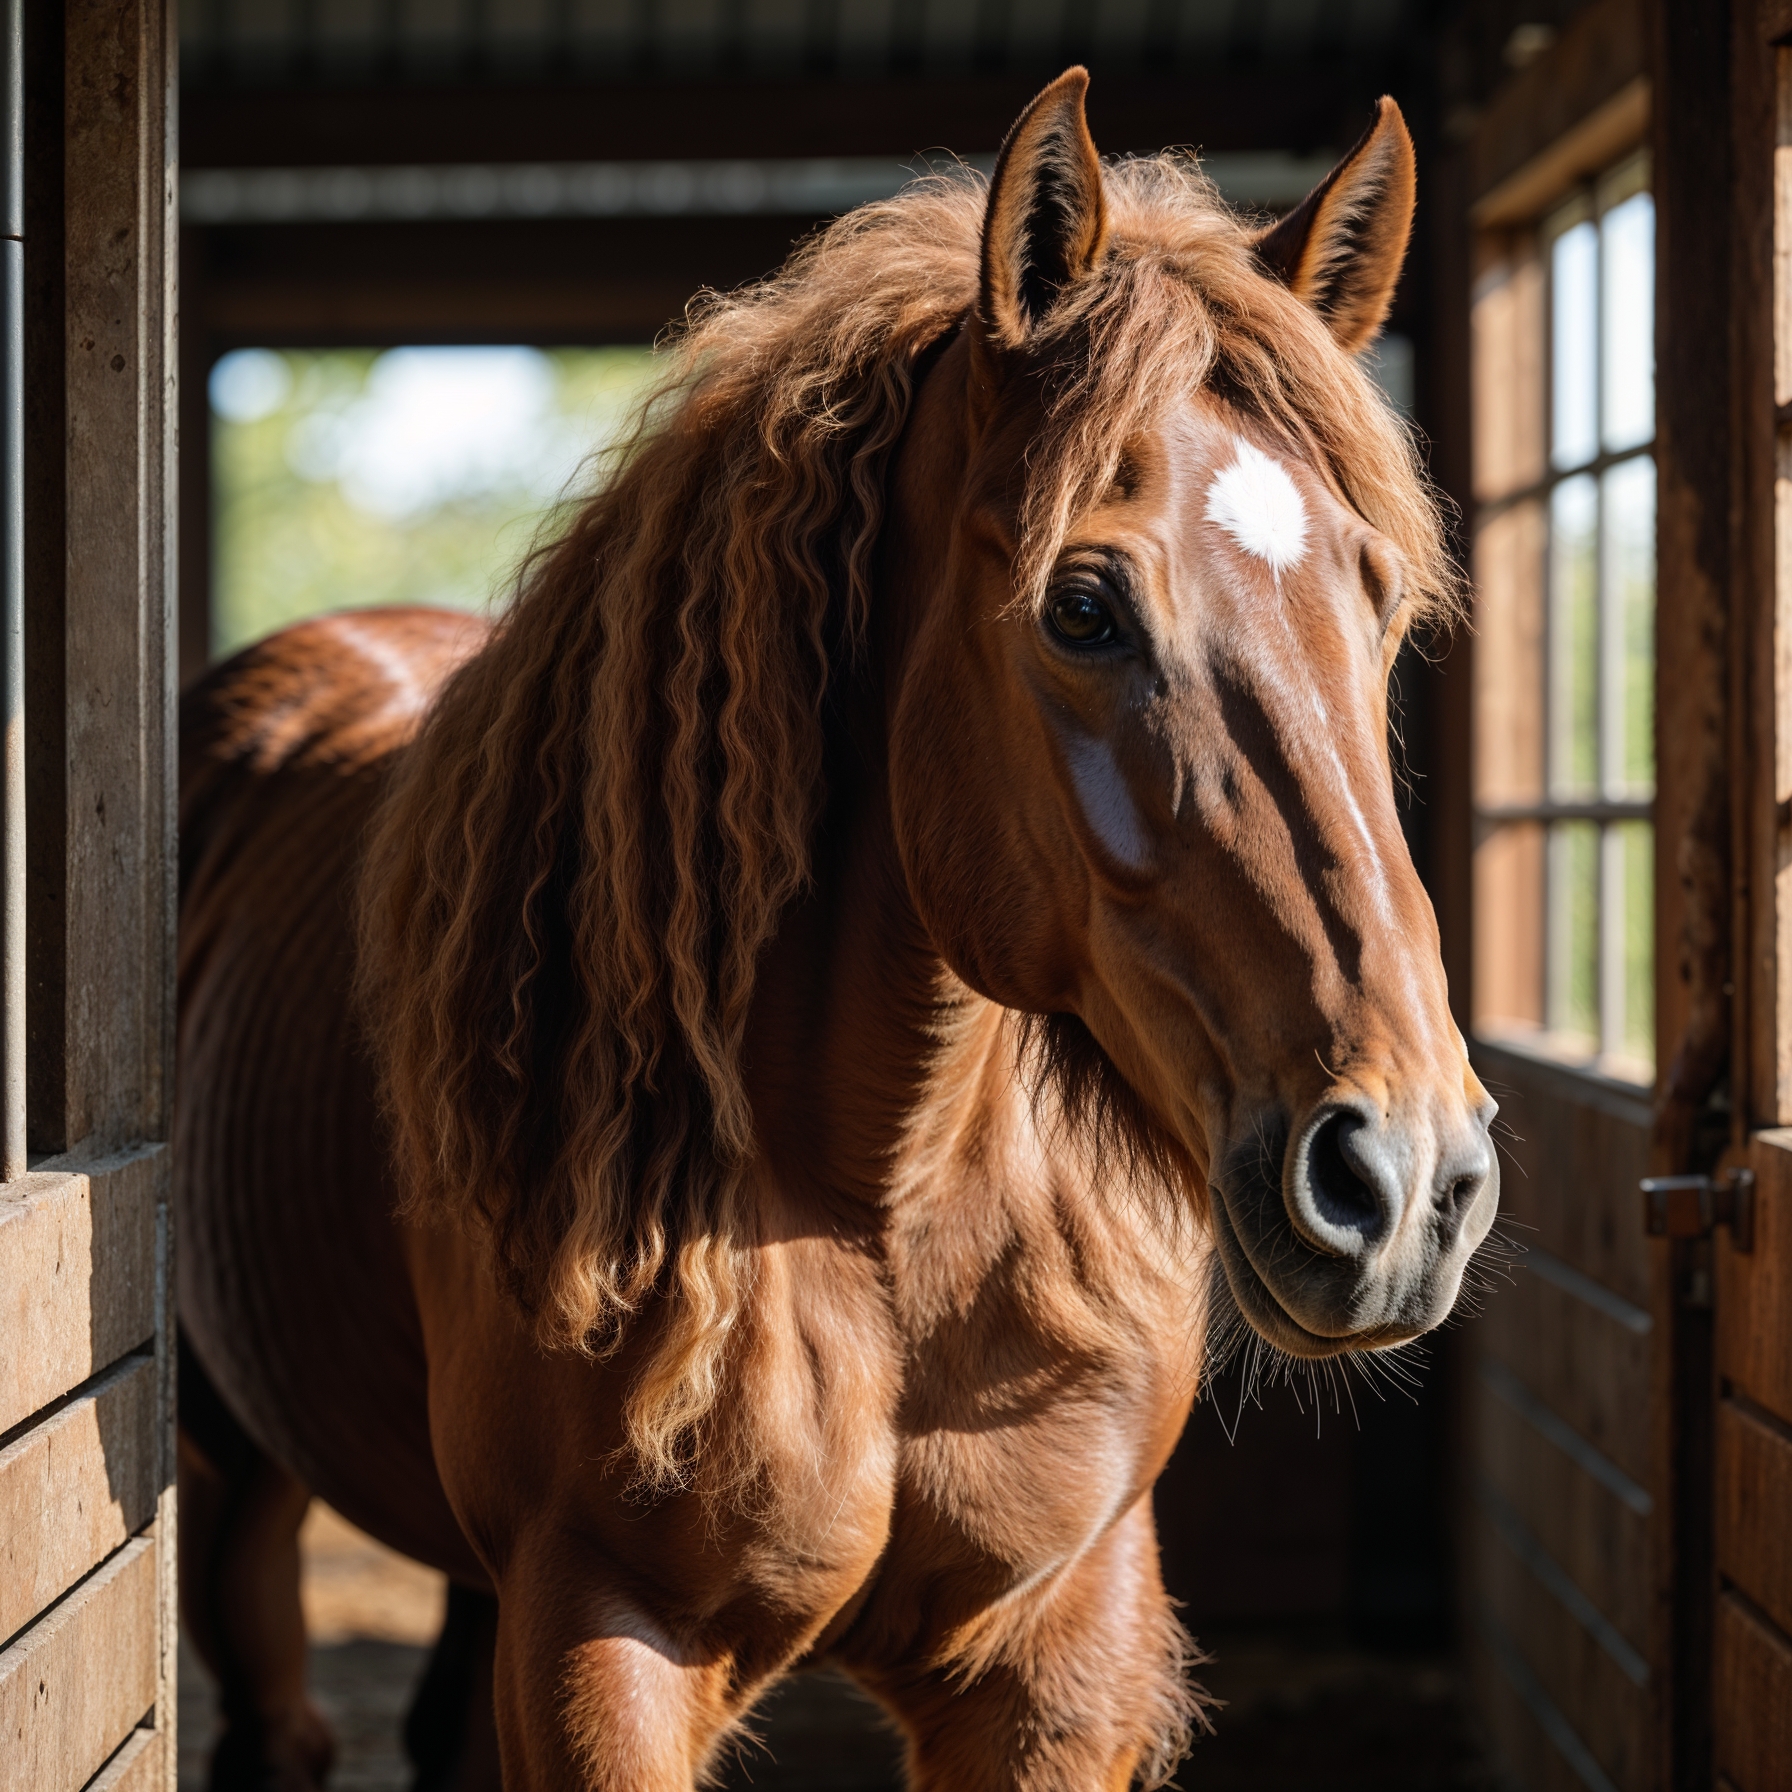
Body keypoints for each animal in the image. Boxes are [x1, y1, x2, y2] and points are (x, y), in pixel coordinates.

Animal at [176, 70, 1496, 1792]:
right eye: (1083, 606)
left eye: (1381, 597)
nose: (1404, 1183)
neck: (885, 1209)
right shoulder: (598, 1646)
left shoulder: (1059, 1651)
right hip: (233, 1475)